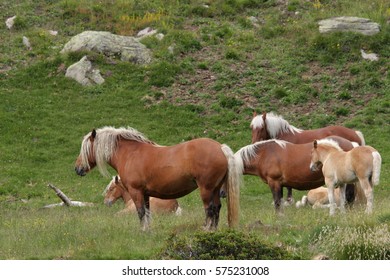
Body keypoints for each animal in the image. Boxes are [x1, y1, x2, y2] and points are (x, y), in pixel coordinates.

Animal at [74, 126, 241, 230]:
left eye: (85, 149)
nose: (77, 168)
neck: (130, 154)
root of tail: (220, 147)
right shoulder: (145, 194)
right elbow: (147, 212)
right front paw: (148, 230)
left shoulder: (136, 192)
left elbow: (141, 212)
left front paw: (143, 231)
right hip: (216, 189)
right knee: (217, 208)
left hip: (206, 189)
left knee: (209, 209)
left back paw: (206, 229)